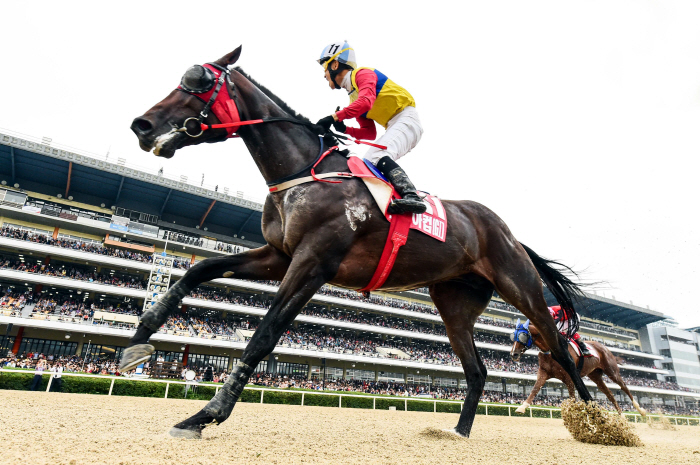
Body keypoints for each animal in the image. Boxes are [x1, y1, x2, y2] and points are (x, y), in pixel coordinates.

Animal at [124, 47, 592, 438]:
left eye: (199, 81)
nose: (141, 126)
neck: (302, 171)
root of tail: (509, 233)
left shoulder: (312, 263)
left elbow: (263, 335)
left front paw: (205, 415)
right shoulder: (279, 255)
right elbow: (200, 268)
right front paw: (138, 339)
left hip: (521, 288)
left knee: (563, 354)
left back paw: (597, 423)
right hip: (454, 302)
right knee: (477, 370)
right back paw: (458, 431)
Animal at [508, 320, 644, 416]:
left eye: (522, 336)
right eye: (512, 336)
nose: (513, 354)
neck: (550, 350)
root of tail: (604, 347)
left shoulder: (569, 377)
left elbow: (573, 397)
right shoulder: (544, 372)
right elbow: (535, 389)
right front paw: (522, 407)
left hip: (611, 370)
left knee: (623, 386)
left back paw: (640, 410)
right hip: (595, 375)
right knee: (609, 394)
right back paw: (622, 416)